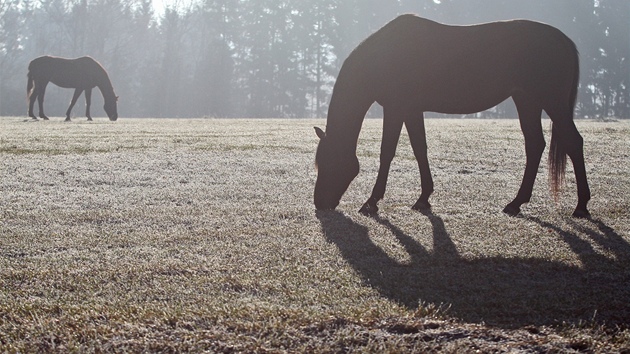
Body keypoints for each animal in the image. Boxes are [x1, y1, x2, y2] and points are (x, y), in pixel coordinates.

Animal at [316, 13, 592, 217]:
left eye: (327, 162)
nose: (319, 203)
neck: (383, 56)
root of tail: (563, 40)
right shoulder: (411, 110)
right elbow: (420, 149)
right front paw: (423, 198)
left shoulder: (395, 109)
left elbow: (387, 152)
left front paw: (371, 202)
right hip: (527, 101)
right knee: (535, 145)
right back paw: (516, 203)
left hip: (552, 102)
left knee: (573, 142)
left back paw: (581, 206)